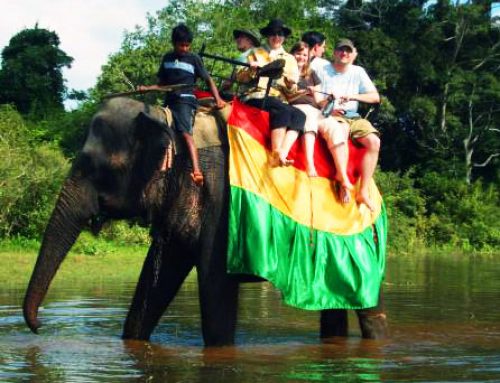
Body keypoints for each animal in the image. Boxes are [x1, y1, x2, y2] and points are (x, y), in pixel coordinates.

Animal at [23, 97, 388, 348]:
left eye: (92, 166)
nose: (40, 328)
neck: (169, 120)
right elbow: (157, 279)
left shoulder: (221, 201)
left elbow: (216, 288)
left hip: (363, 237)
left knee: (367, 304)